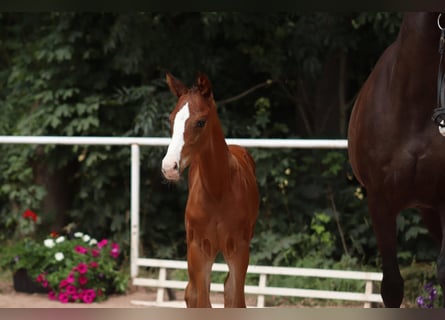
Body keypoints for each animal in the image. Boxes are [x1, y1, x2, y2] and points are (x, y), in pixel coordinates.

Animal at [160, 72, 258, 308]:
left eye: (200, 122)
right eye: (171, 120)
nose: (169, 167)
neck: (218, 190)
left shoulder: (239, 248)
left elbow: (236, 298)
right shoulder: (198, 248)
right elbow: (201, 300)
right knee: (192, 293)